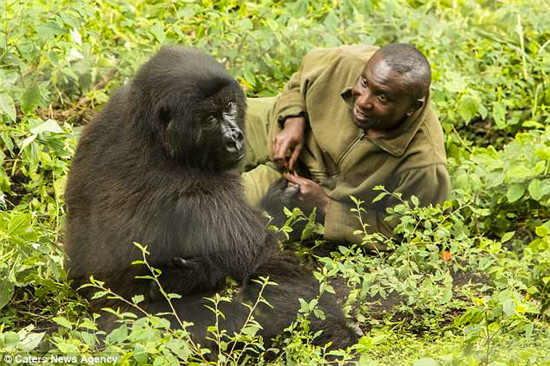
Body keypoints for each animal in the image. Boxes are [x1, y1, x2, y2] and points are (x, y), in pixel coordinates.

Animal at [64, 45, 358, 352]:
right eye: (209, 119)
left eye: (228, 106)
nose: (235, 138)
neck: (156, 135)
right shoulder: (202, 189)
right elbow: (267, 272)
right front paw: (338, 334)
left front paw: (281, 202)